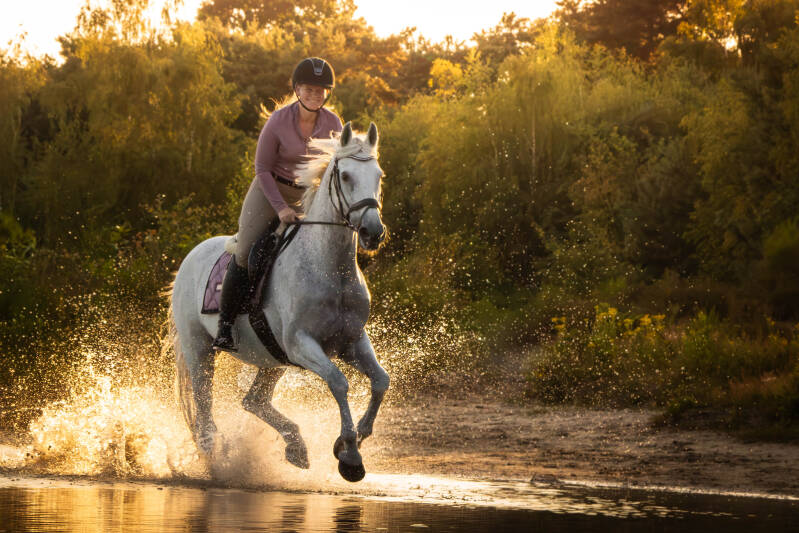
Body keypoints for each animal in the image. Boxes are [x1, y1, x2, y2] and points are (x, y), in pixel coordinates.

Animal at [169, 122, 389, 482]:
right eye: (345, 176)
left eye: (379, 175)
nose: (373, 231)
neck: (330, 268)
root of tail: (191, 256)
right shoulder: (302, 344)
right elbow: (339, 382)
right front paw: (350, 456)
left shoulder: (351, 341)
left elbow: (381, 381)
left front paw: (353, 439)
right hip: (200, 349)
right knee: (204, 407)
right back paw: (215, 458)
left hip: (273, 357)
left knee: (253, 401)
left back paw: (296, 446)